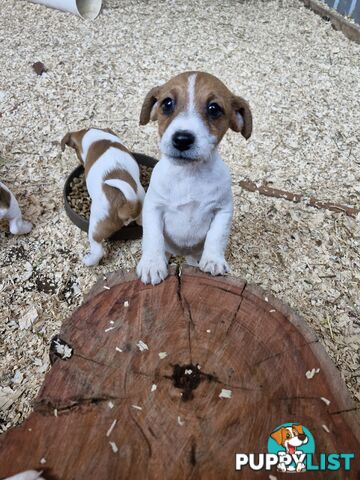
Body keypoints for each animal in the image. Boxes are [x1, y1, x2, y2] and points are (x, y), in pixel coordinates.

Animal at [136, 69, 252, 284]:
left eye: (214, 109)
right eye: (167, 103)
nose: (182, 139)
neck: (189, 175)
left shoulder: (222, 210)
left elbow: (217, 236)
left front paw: (213, 260)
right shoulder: (153, 207)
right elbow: (153, 237)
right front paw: (152, 264)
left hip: (193, 253)